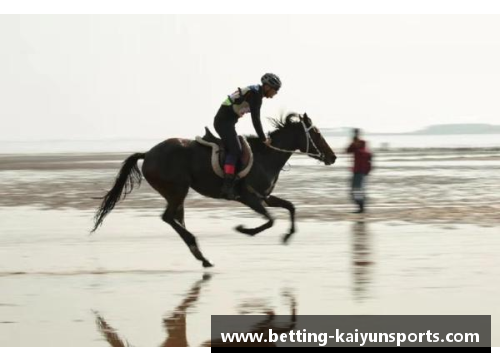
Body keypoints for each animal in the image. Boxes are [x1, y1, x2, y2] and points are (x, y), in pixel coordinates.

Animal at [92, 111, 338, 268]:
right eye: (316, 133)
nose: (333, 157)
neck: (265, 156)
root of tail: (148, 154)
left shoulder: (264, 196)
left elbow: (290, 207)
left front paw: (288, 236)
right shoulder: (248, 196)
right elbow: (270, 220)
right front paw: (244, 229)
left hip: (177, 193)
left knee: (176, 219)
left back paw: (200, 255)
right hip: (177, 190)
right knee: (168, 218)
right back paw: (198, 250)